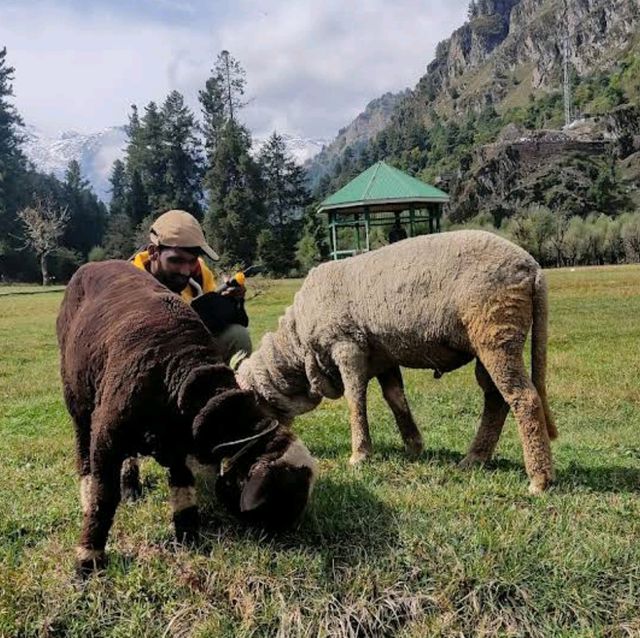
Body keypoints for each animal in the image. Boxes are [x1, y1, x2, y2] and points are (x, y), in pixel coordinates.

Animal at [56, 262, 316, 576]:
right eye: (282, 495)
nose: (286, 535)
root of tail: (92, 265)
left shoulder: (179, 441)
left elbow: (183, 490)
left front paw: (190, 540)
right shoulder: (107, 437)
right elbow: (104, 498)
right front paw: (88, 560)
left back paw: (130, 486)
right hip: (77, 398)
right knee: (82, 448)